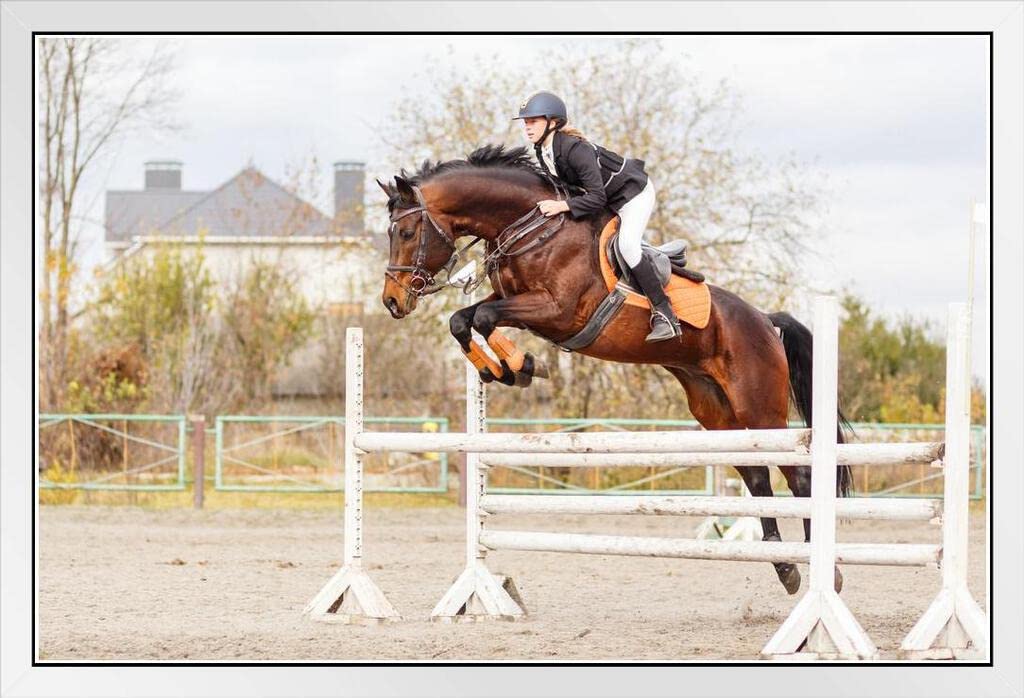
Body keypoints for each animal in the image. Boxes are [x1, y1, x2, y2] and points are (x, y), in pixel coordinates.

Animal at [377, 144, 851, 595]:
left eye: (406, 232)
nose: (392, 302)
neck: (532, 229)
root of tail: (766, 321)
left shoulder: (556, 310)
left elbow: (484, 317)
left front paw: (521, 366)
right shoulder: (516, 302)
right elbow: (464, 319)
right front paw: (511, 370)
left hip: (758, 407)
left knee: (800, 476)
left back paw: (824, 571)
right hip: (716, 410)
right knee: (756, 475)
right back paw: (784, 565)